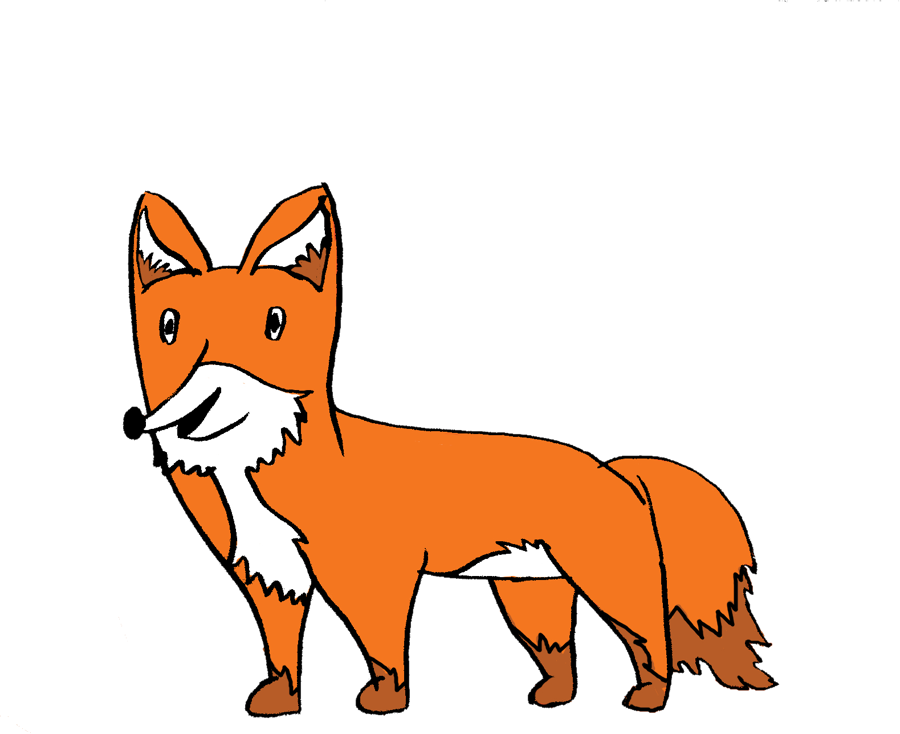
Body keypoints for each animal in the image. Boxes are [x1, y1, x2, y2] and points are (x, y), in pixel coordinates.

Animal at [123, 182, 776, 718]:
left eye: (274, 324)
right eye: (169, 328)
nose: (198, 407)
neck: (259, 473)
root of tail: (612, 468)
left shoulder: (372, 573)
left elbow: (382, 645)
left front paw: (384, 701)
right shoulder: (270, 574)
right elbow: (282, 651)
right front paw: (278, 704)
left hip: (608, 582)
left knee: (650, 639)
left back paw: (646, 698)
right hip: (528, 592)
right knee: (561, 651)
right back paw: (552, 697)